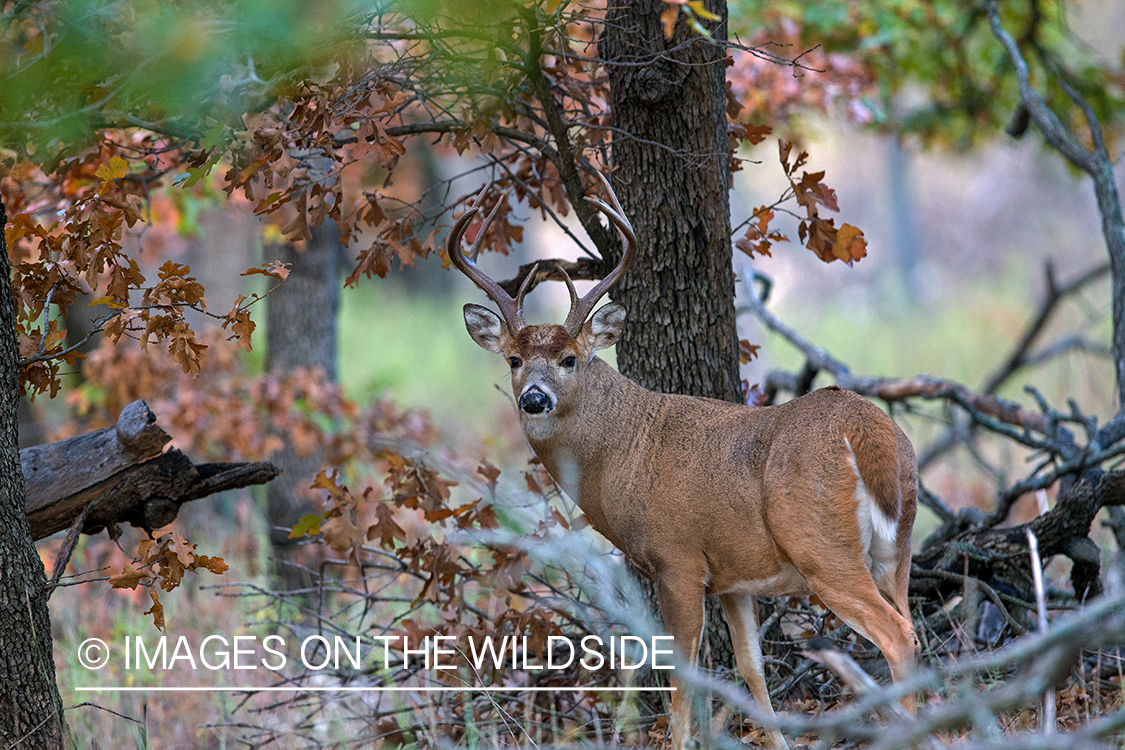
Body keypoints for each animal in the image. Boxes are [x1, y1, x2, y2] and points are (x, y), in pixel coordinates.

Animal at [447, 172, 913, 750]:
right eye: (513, 359)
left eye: (569, 359)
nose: (534, 398)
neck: (623, 453)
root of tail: (867, 429)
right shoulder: (733, 579)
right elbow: (751, 668)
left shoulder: (678, 561)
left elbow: (683, 677)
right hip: (898, 547)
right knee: (911, 627)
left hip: (823, 546)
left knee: (896, 636)